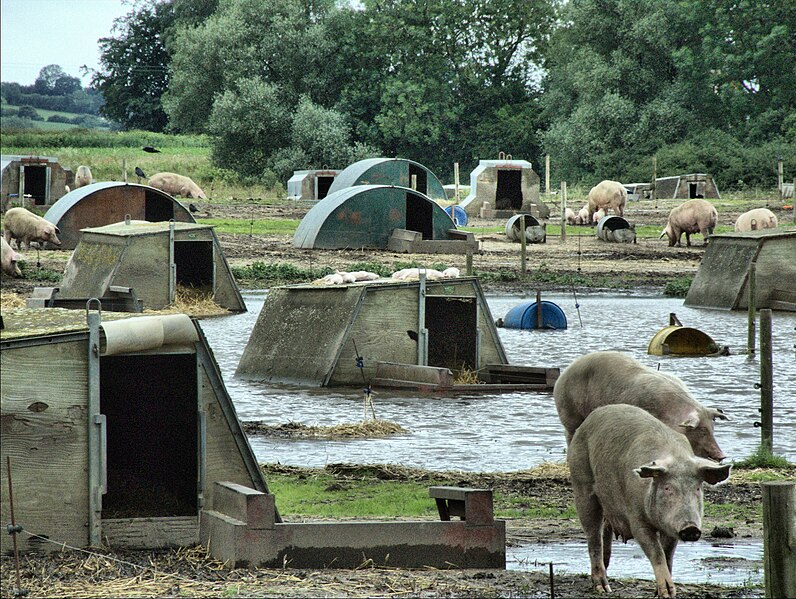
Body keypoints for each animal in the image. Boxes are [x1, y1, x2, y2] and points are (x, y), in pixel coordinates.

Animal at [552, 350, 728, 462]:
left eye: (712, 428)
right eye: (702, 430)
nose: (722, 456)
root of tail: (565, 372)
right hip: (568, 412)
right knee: (569, 434)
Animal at [568, 406, 732, 596]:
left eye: (697, 488)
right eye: (667, 488)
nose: (691, 528)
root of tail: (589, 419)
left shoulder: (672, 527)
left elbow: (667, 554)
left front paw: (662, 593)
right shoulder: (637, 519)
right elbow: (656, 552)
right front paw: (667, 592)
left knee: (605, 535)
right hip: (582, 485)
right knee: (593, 538)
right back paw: (603, 588)